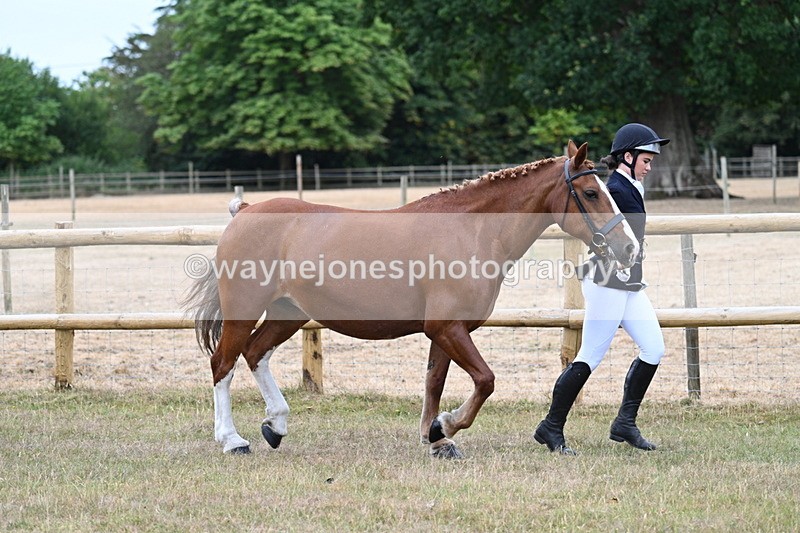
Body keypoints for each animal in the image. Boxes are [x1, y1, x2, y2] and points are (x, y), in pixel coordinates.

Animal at [183, 141, 639, 458]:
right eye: (592, 193)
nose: (629, 248)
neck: (472, 231)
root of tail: (245, 210)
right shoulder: (447, 328)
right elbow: (485, 380)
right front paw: (447, 426)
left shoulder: (445, 332)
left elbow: (435, 382)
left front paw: (436, 438)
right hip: (245, 311)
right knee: (223, 364)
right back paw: (232, 439)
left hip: (288, 314)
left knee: (255, 353)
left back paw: (275, 426)